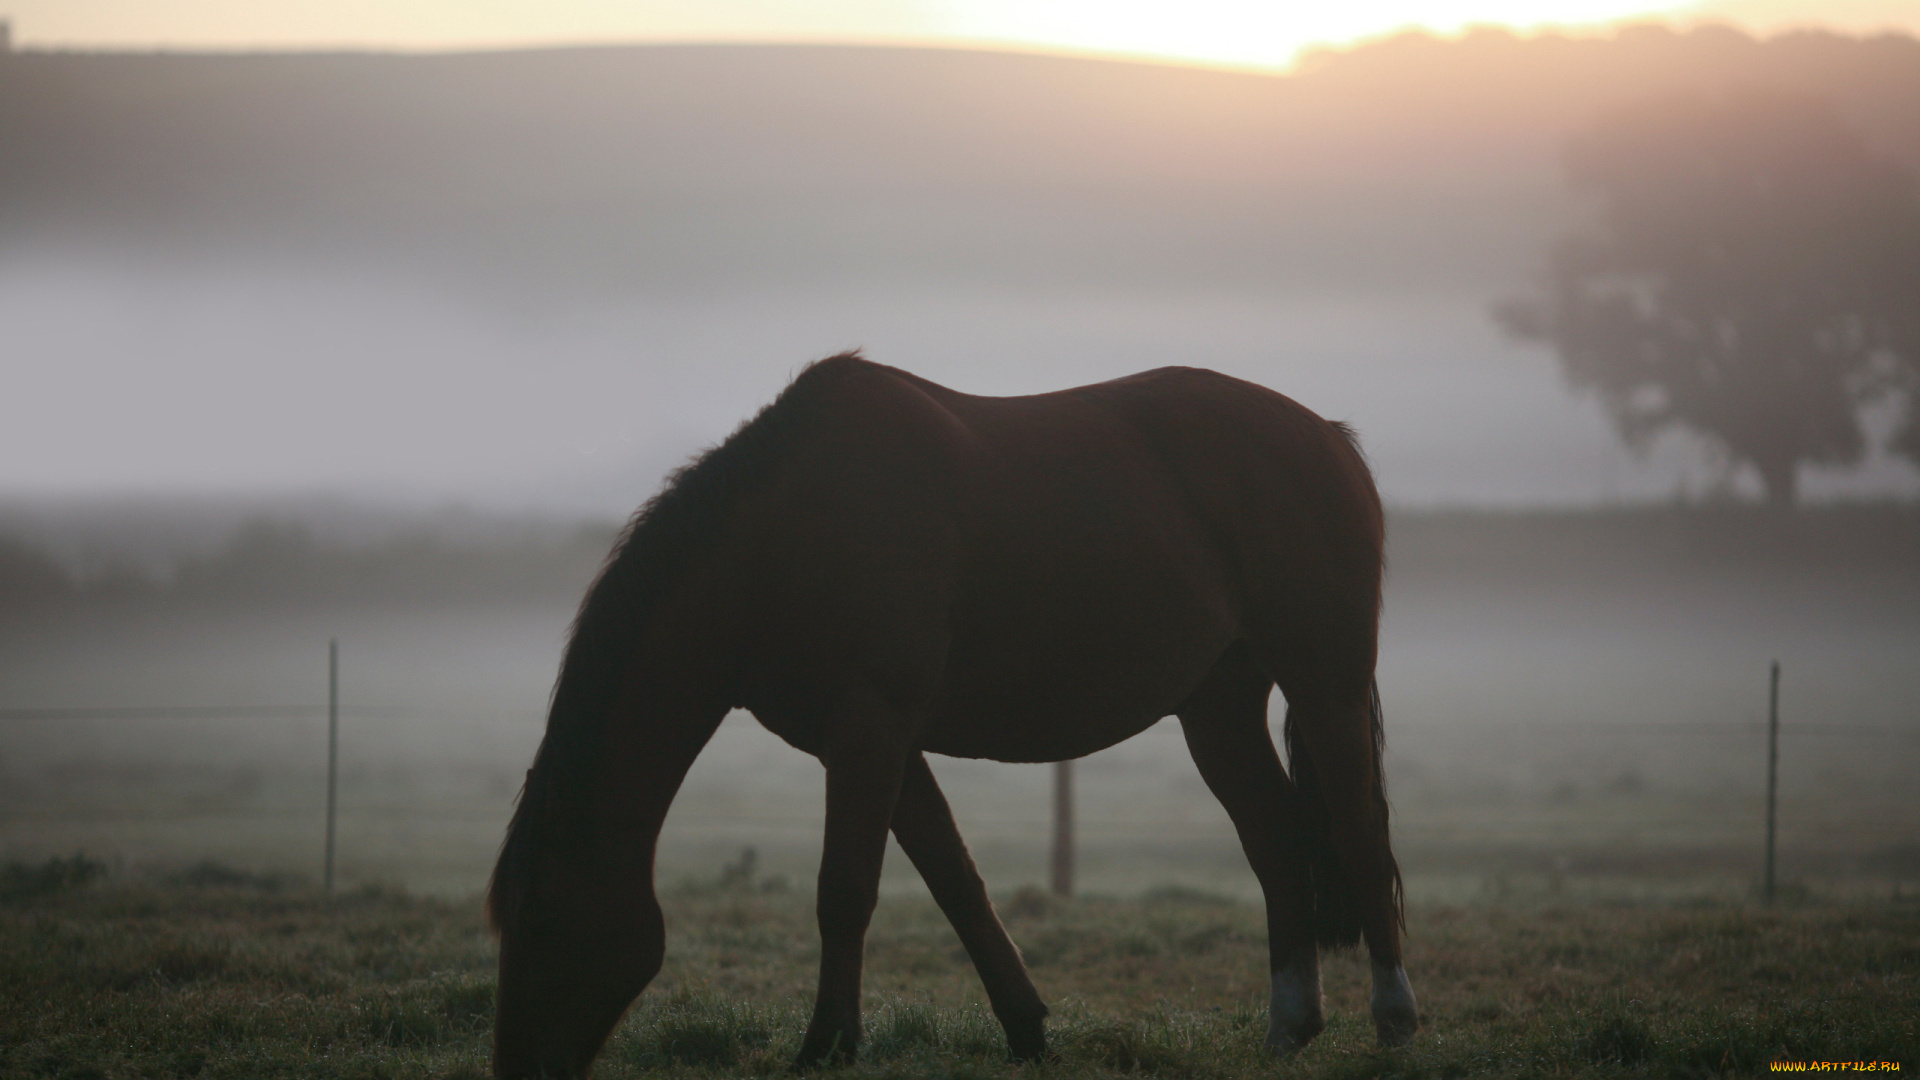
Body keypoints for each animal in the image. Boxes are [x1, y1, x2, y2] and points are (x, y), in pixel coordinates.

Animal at [483, 351, 1413, 1068]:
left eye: (540, 922)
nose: (514, 1069)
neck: (784, 536)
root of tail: (1327, 437)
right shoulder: (877, 745)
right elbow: (955, 882)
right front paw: (1027, 1030)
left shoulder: (870, 731)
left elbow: (844, 892)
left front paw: (825, 1048)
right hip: (1216, 708)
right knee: (1276, 839)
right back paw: (1289, 1027)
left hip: (1324, 683)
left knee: (1359, 833)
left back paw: (1395, 1022)